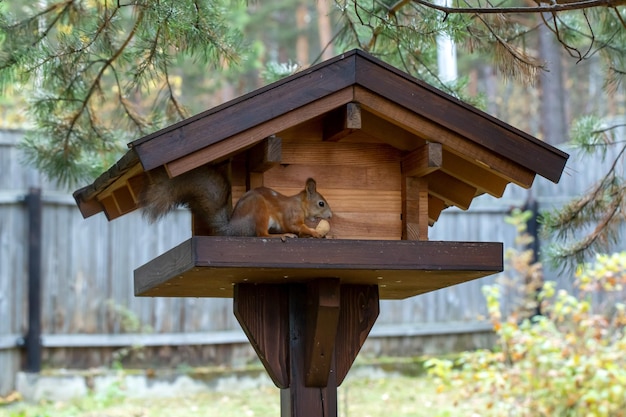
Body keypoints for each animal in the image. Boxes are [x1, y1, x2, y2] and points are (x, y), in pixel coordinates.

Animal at [138, 162, 330, 237]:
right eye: (321, 203)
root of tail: (233, 228)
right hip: (260, 210)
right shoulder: (291, 215)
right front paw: (313, 232)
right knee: (262, 234)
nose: (330, 216)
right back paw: (282, 236)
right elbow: (295, 225)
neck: (301, 204)